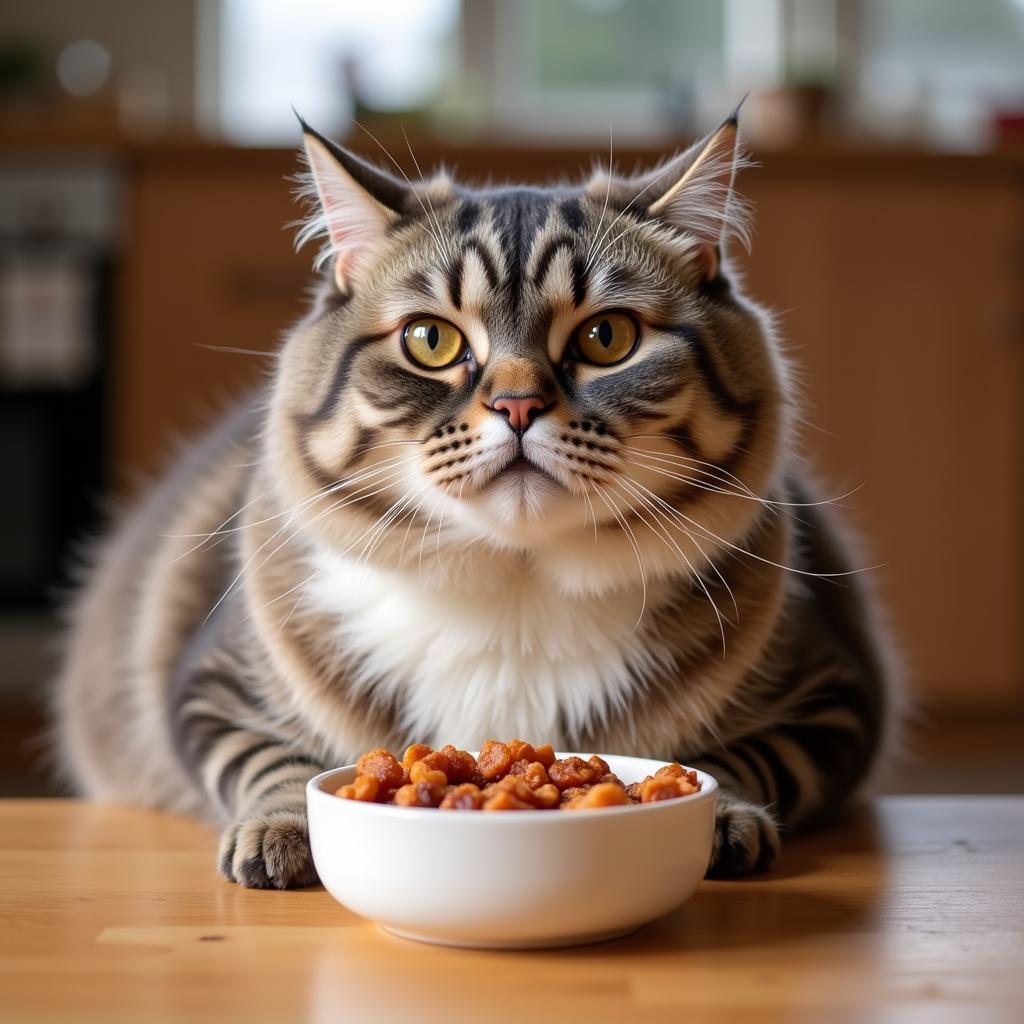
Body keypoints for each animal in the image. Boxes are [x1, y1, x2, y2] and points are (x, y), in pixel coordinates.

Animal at [54, 116, 897, 888]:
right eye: (430, 340)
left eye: (608, 338)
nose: (518, 405)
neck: (517, 583)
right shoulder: (211, 686)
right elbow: (275, 761)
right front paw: (283, 830)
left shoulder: (833, 697)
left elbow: (739, 757)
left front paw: (719, 816)